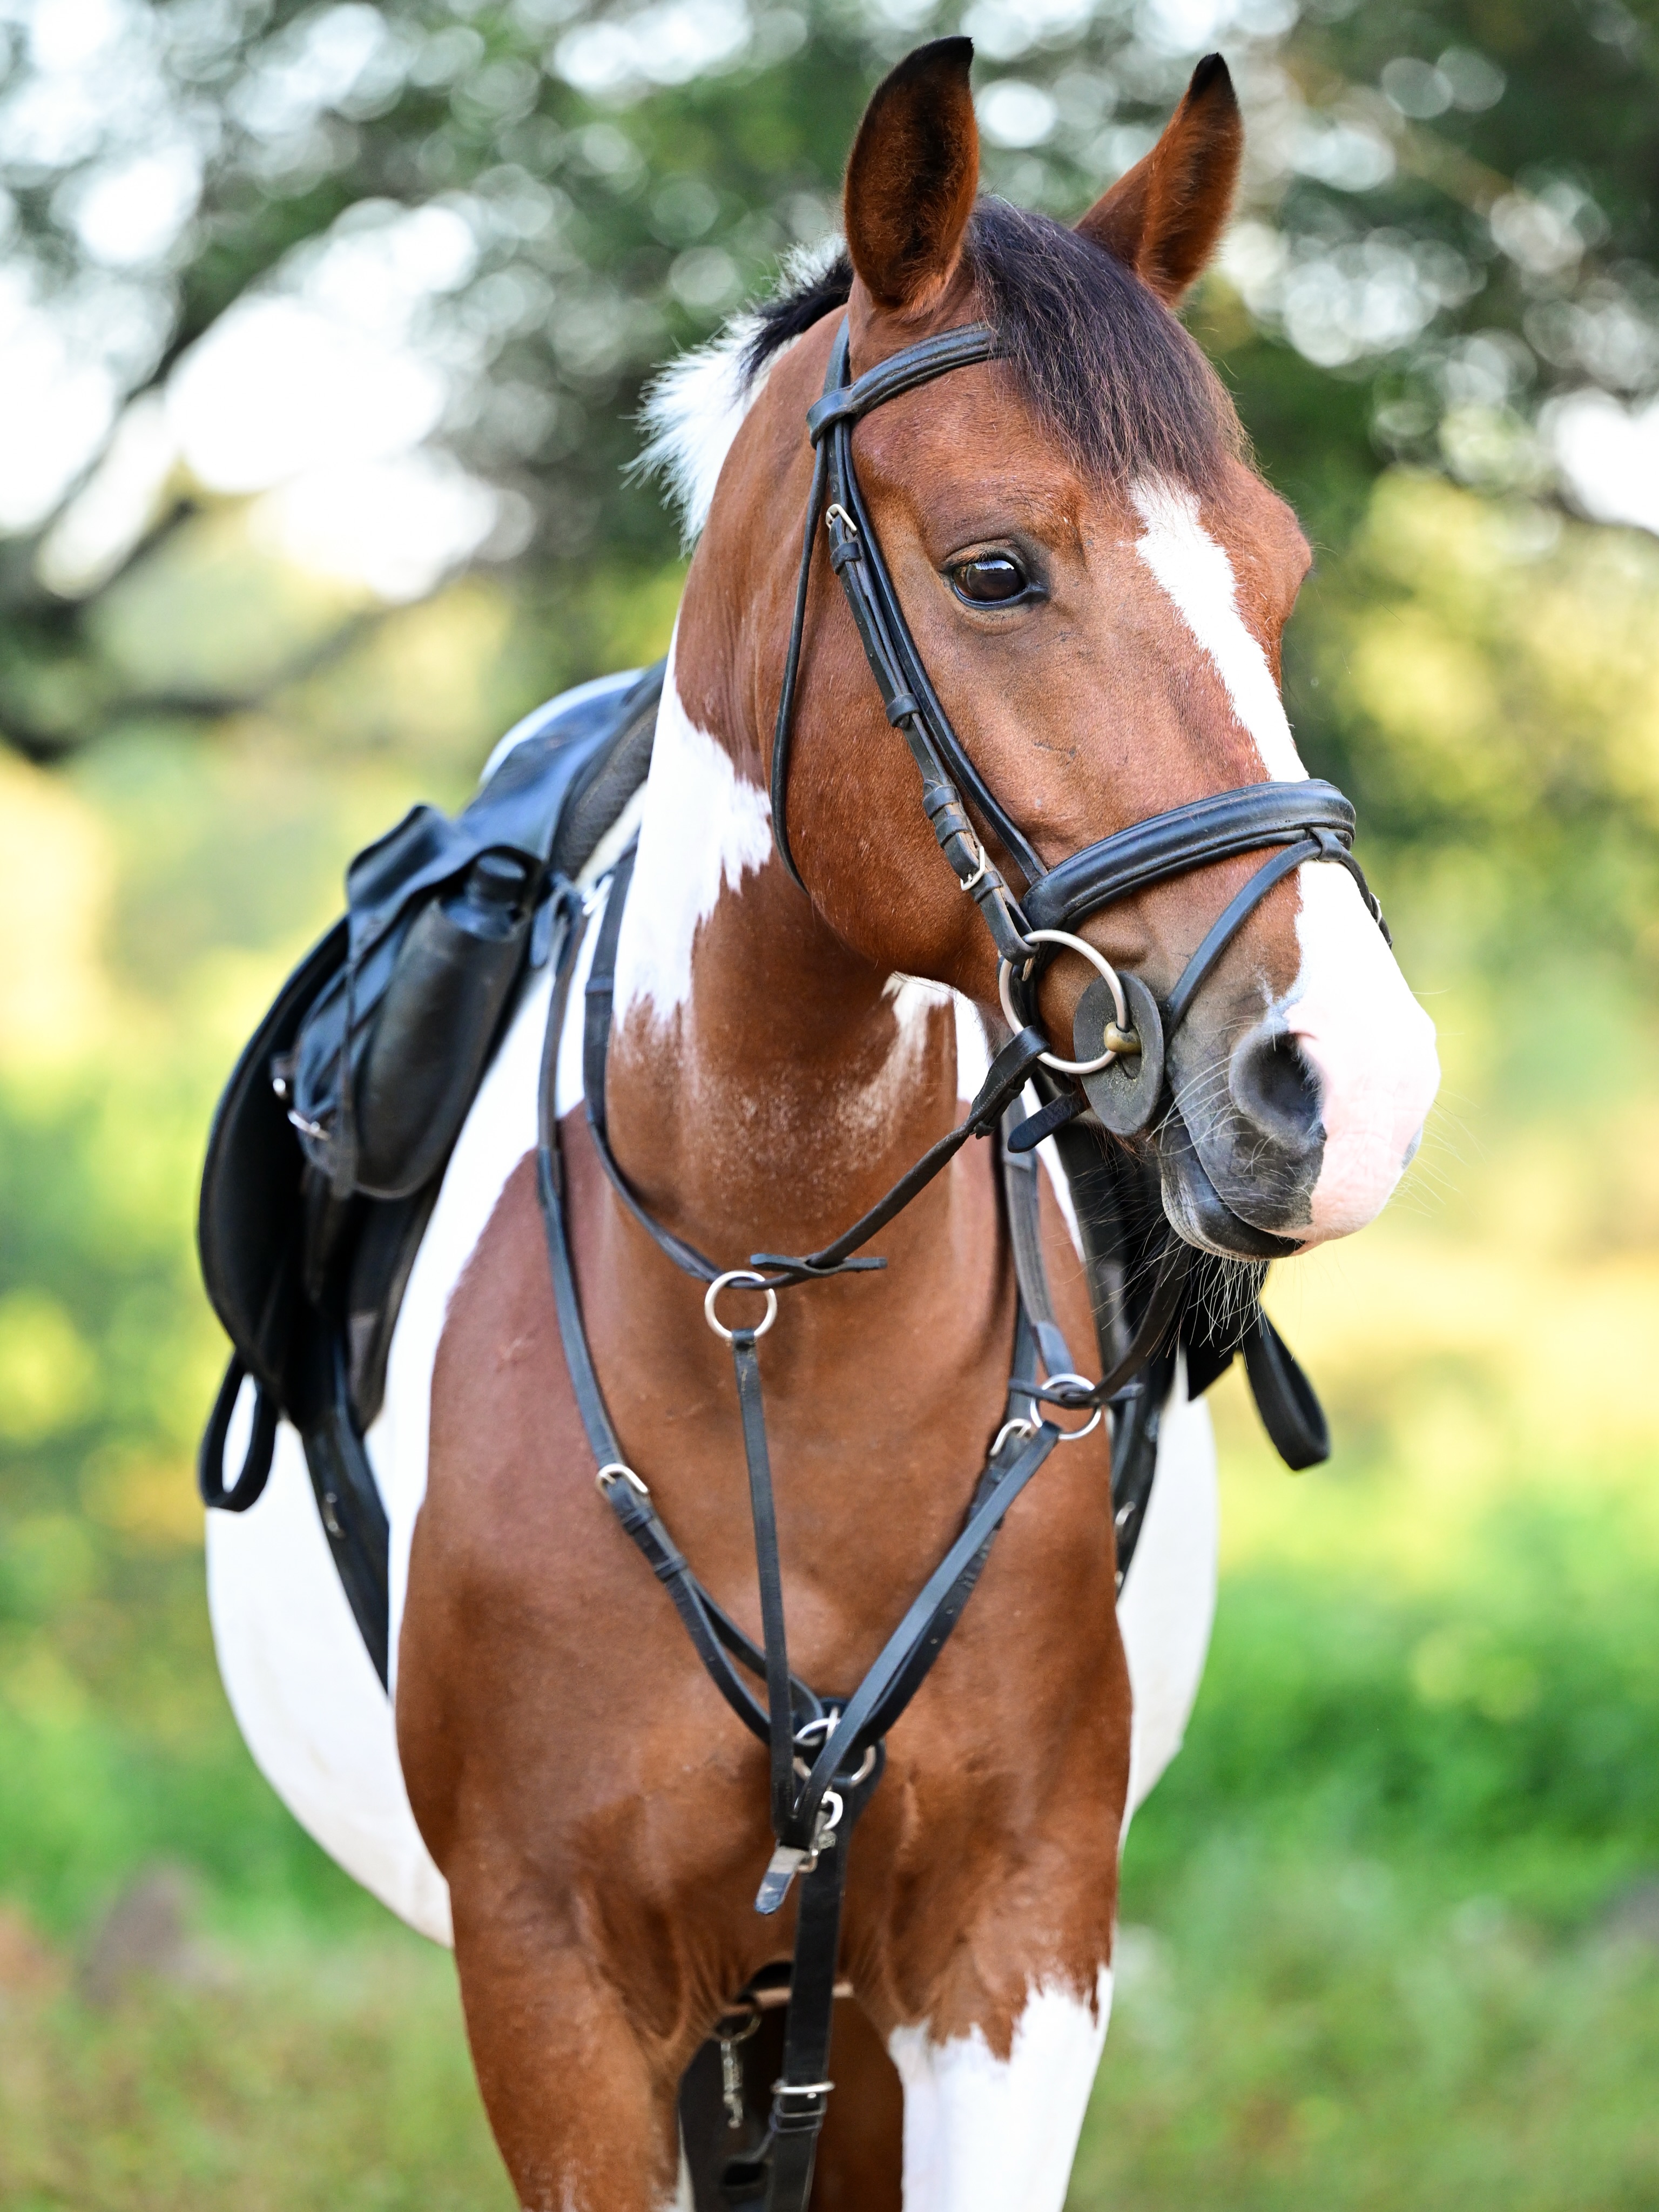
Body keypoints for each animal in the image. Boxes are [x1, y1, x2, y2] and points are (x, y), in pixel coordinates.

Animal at [205, 38, 1439, 2211]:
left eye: (1277, 582)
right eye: (997, 567)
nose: (1344, 1084)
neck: (771, 1287)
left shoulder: (1009, 1960)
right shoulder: (553, 1993)